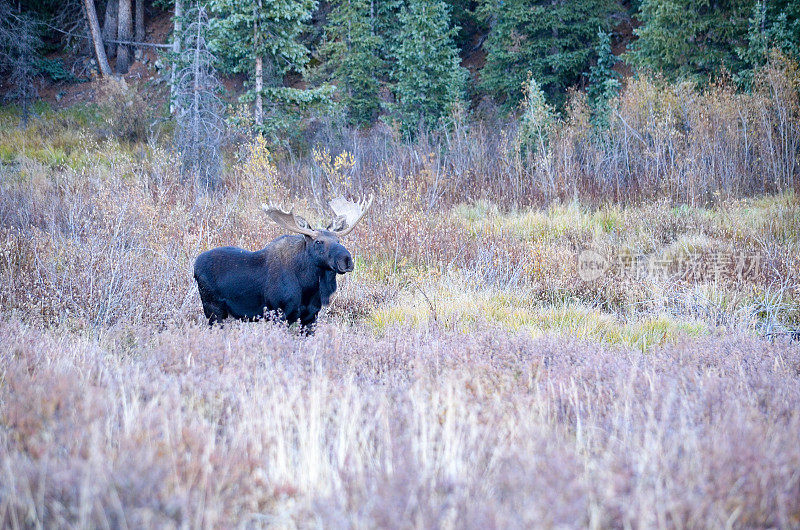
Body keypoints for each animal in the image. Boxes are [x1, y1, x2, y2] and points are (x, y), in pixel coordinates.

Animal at [194, 196, 372, 328]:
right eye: (318, 242)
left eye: (338, 240)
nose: (346, 260)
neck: (309, 286)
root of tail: (194, 267)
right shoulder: (280, 313)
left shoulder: (311, 317)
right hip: (213, 309)